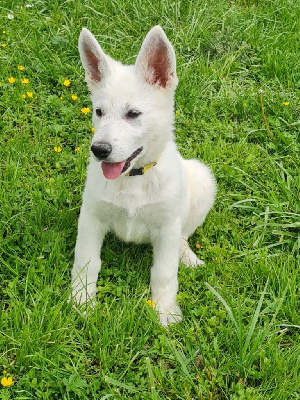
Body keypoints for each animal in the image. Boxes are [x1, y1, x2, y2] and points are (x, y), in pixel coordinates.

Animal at [71, 25, 217, 326]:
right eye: (98, 112)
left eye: (133, 114)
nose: (99, 150)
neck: (133, 179)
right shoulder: (91, 217)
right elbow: (86, 262)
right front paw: (81, 302)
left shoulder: (167, 227)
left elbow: (164, 272)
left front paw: (165, 312)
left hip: (202, 182)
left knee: (184, 236)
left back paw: (188, 258)